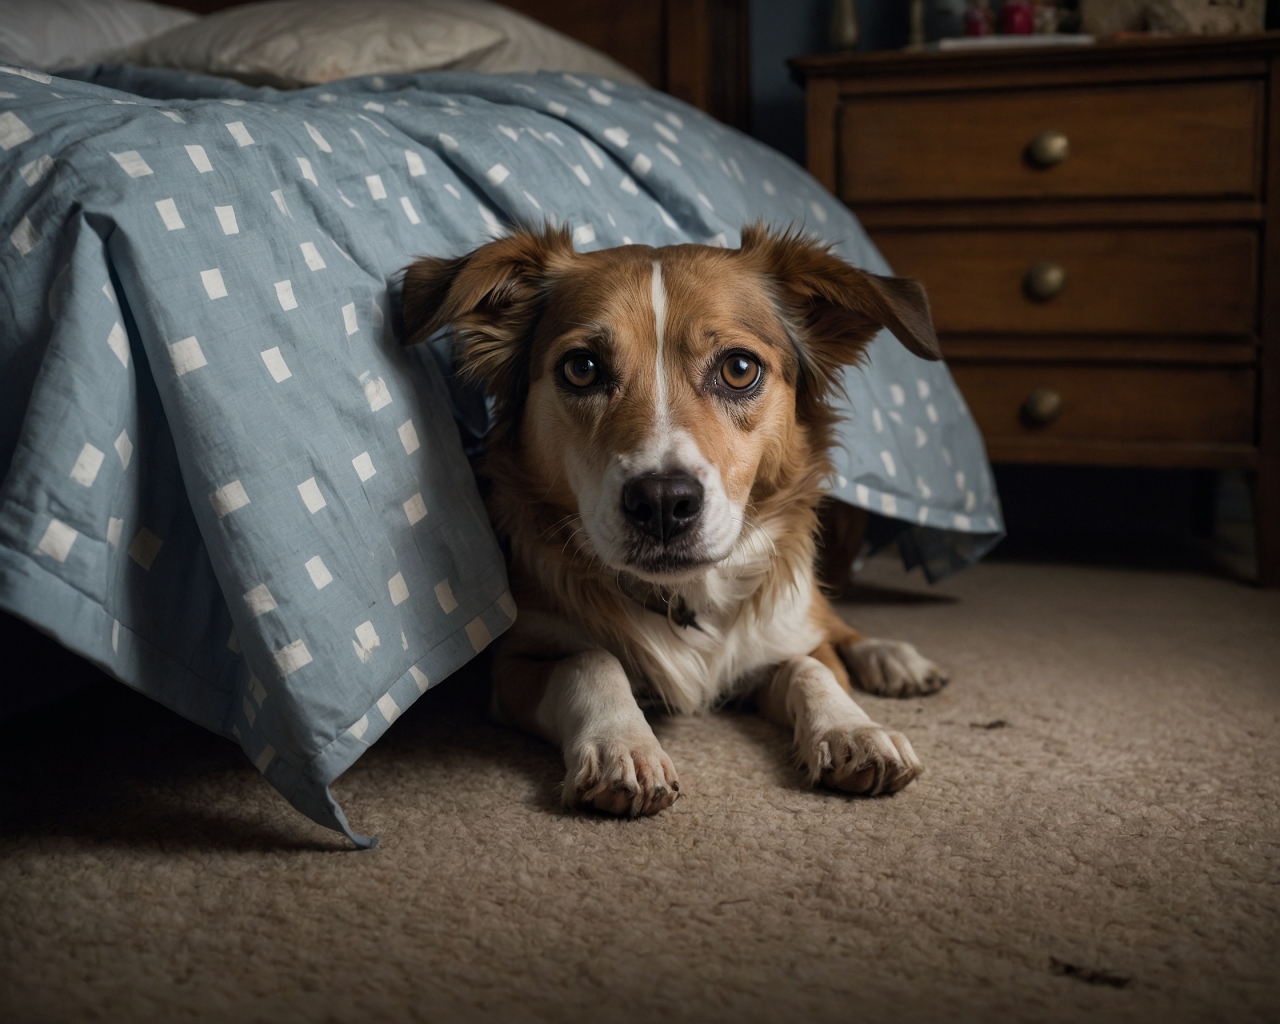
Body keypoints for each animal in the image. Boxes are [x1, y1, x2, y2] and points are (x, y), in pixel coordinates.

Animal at [399, 221, 952, 814]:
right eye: (581, 368)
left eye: (739, 368)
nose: (663, 503)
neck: (684, 595)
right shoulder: (514, 664)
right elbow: (590, 661)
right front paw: (622, 744)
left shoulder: (788, 636)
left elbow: (813, 666)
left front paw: (854, 731)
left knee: (836, 622)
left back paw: (895, 659)